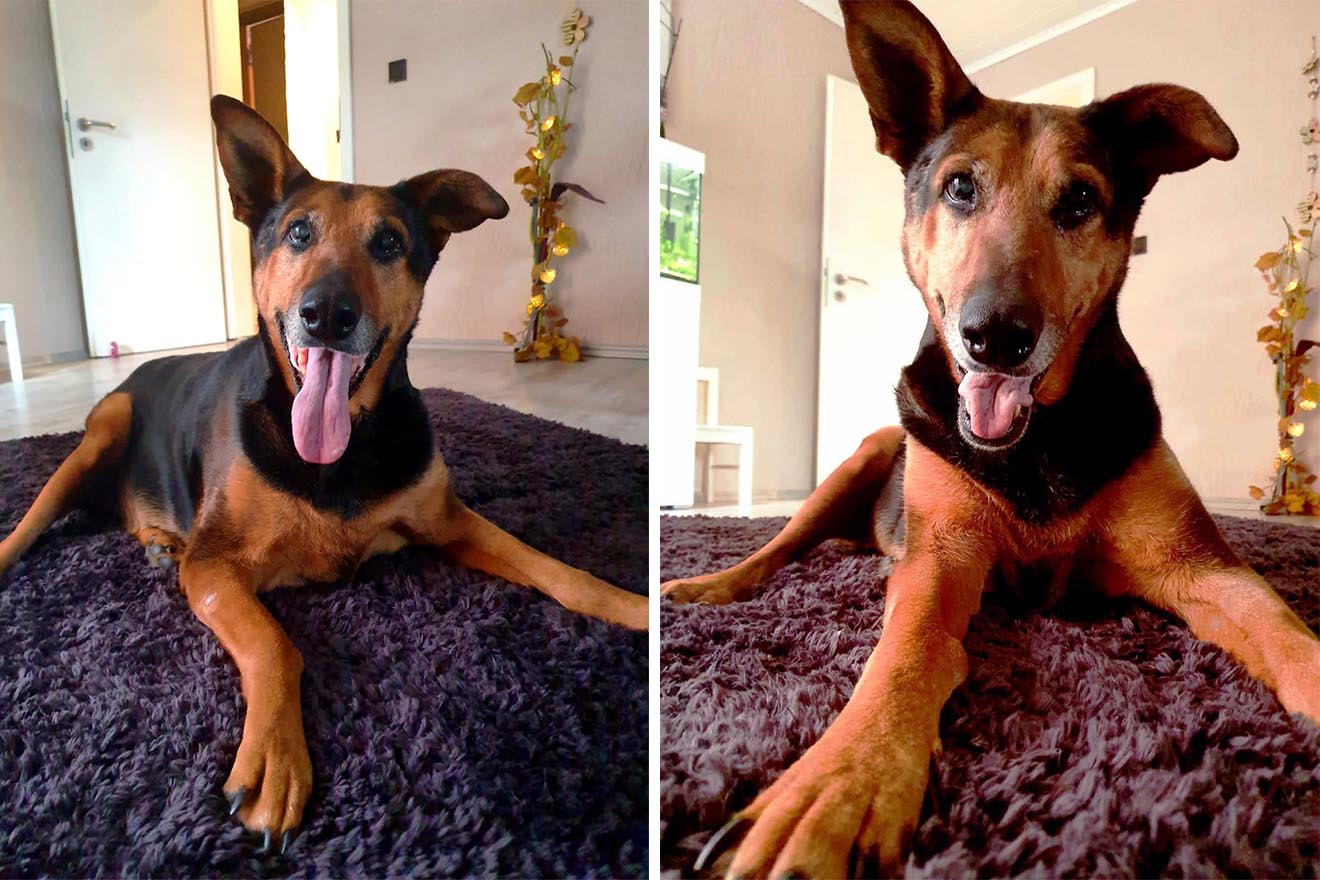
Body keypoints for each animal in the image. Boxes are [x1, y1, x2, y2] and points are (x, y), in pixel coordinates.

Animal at [0, 96, 647, 851]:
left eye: (389, 242)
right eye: (298, 233)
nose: (328, 315)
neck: (341, 452)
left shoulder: (448, 519)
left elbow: (558, 570)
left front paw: (634, 606)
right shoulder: (215, 566)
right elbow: (276, 648)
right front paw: (275, 759)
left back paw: (159, 543)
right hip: (103, 429)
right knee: (33, 518)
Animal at [662, 2, 1320, 877]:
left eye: (1079, 201)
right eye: (960, 187)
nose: (996, 336)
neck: (1035, 440)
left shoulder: (1200, 564)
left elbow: (1285, 633)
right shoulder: (939, 560)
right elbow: (908, 653)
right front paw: (835, 785)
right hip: (864, 456)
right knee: (778, 548)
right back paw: (709, 586)